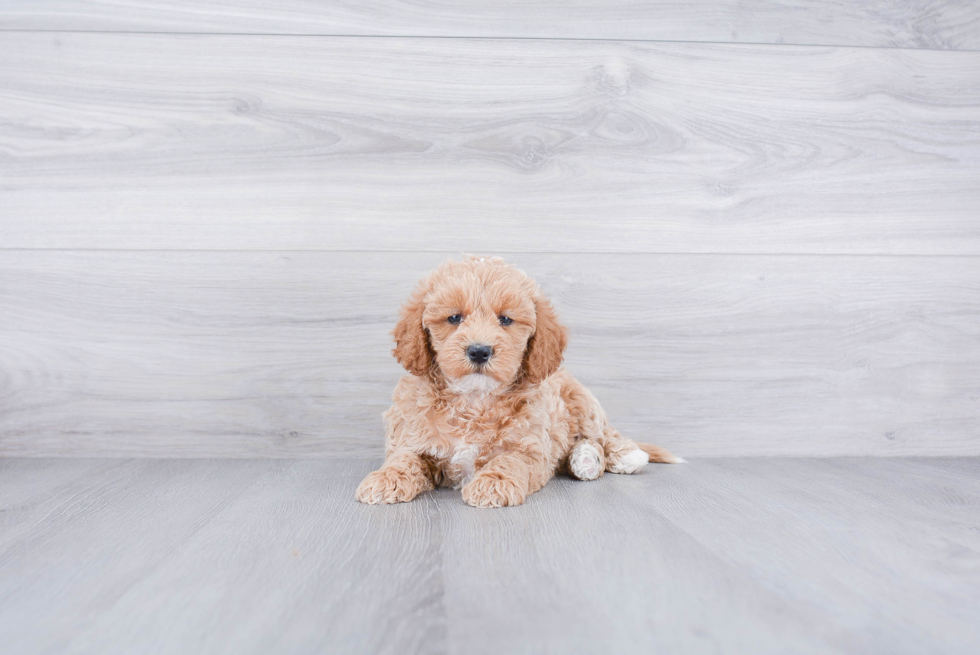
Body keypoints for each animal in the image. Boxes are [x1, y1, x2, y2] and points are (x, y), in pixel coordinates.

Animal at [354, 254, 680, 510]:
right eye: (454, 318)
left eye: (506, 320)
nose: (479, 350)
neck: (474, 398)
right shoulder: (412, 436)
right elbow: (403, 458)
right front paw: (386, 478)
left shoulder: (530, 447)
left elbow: (509, 461)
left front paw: (492, 484)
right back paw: (585, 459)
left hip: (581, 401)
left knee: (605, 435)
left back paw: (620, 456)